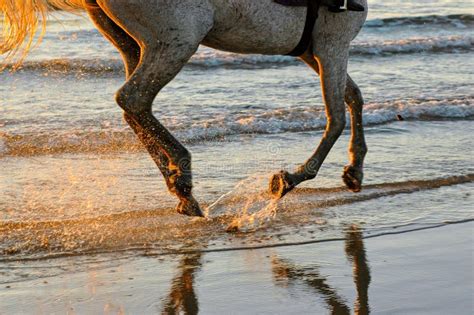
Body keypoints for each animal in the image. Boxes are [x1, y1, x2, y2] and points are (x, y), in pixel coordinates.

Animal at [1, 0, 368, 217]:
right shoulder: (332, 46)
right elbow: (336, 119)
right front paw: (289, 180)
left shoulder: (313, 51)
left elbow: (354, 97)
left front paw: (354, 170)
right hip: (176, 42)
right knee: (132, 100)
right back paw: (182, 176)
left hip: (135, 43)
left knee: (134, 107)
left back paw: (179, 187)